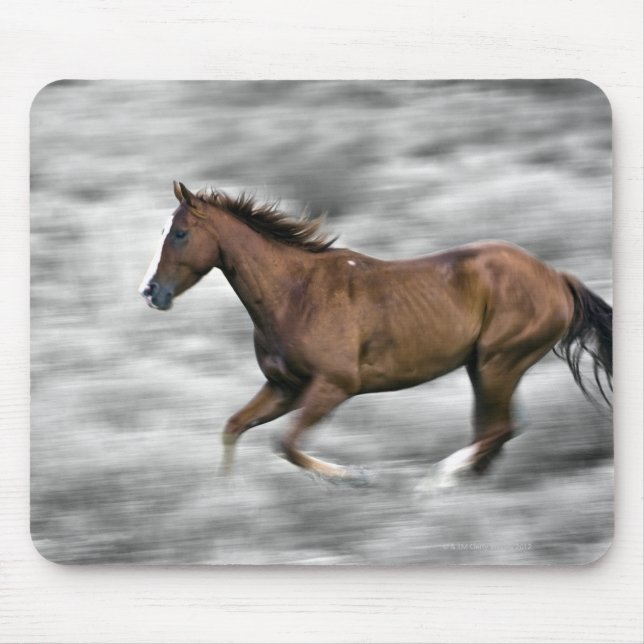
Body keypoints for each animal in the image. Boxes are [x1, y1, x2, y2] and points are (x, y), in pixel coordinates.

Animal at [139, 181, 612, 489]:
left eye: (179, 233)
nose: (150, 292)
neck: (296, 293)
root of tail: (557, 278)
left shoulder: (333, 387)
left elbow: (285, 443)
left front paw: (358, 477)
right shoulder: (285, 388)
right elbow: (234, 427)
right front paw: (227, 494)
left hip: (499, 363)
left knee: (499, 429)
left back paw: (439, 479)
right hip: (483, 367)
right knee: (495, 431)